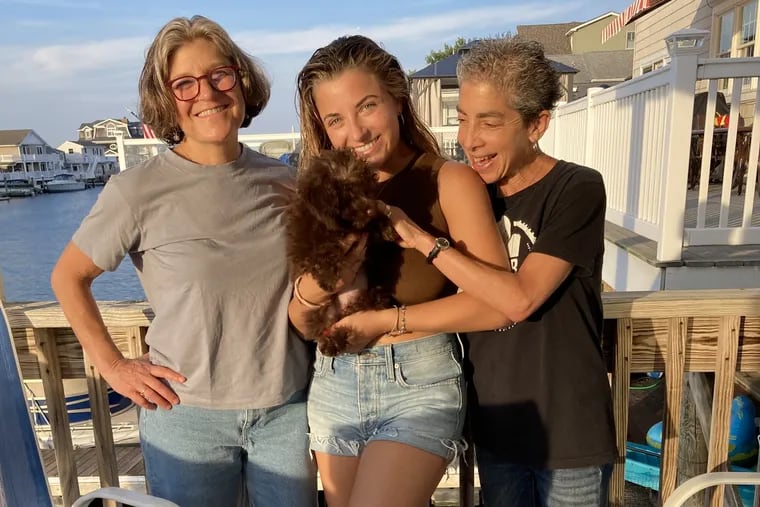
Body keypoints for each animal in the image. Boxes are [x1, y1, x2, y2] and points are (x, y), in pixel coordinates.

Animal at [288, 150, 400, 358]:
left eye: (366, 190)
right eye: (347, 193)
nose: (370, 208)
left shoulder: (362, 229)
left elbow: (371, 224)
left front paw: (386, 227)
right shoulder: (311, 239)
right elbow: (323, 249)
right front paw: (329, 277)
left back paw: (377, 298)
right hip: (322, 314)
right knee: (325, 331)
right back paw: (330, 344)